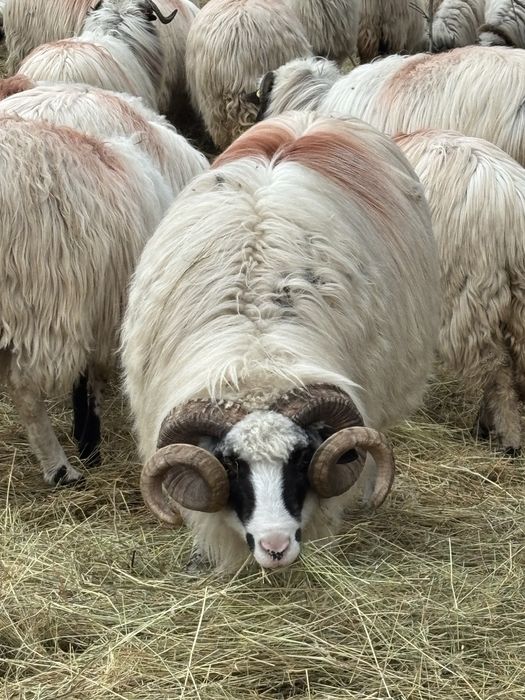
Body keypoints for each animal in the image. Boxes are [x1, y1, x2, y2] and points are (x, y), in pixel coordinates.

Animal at [0, 115, 175, 485]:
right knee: (25, 390)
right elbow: (89, 378)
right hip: (37, 297)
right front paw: (90, 444)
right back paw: (61, 469)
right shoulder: (96, 308)